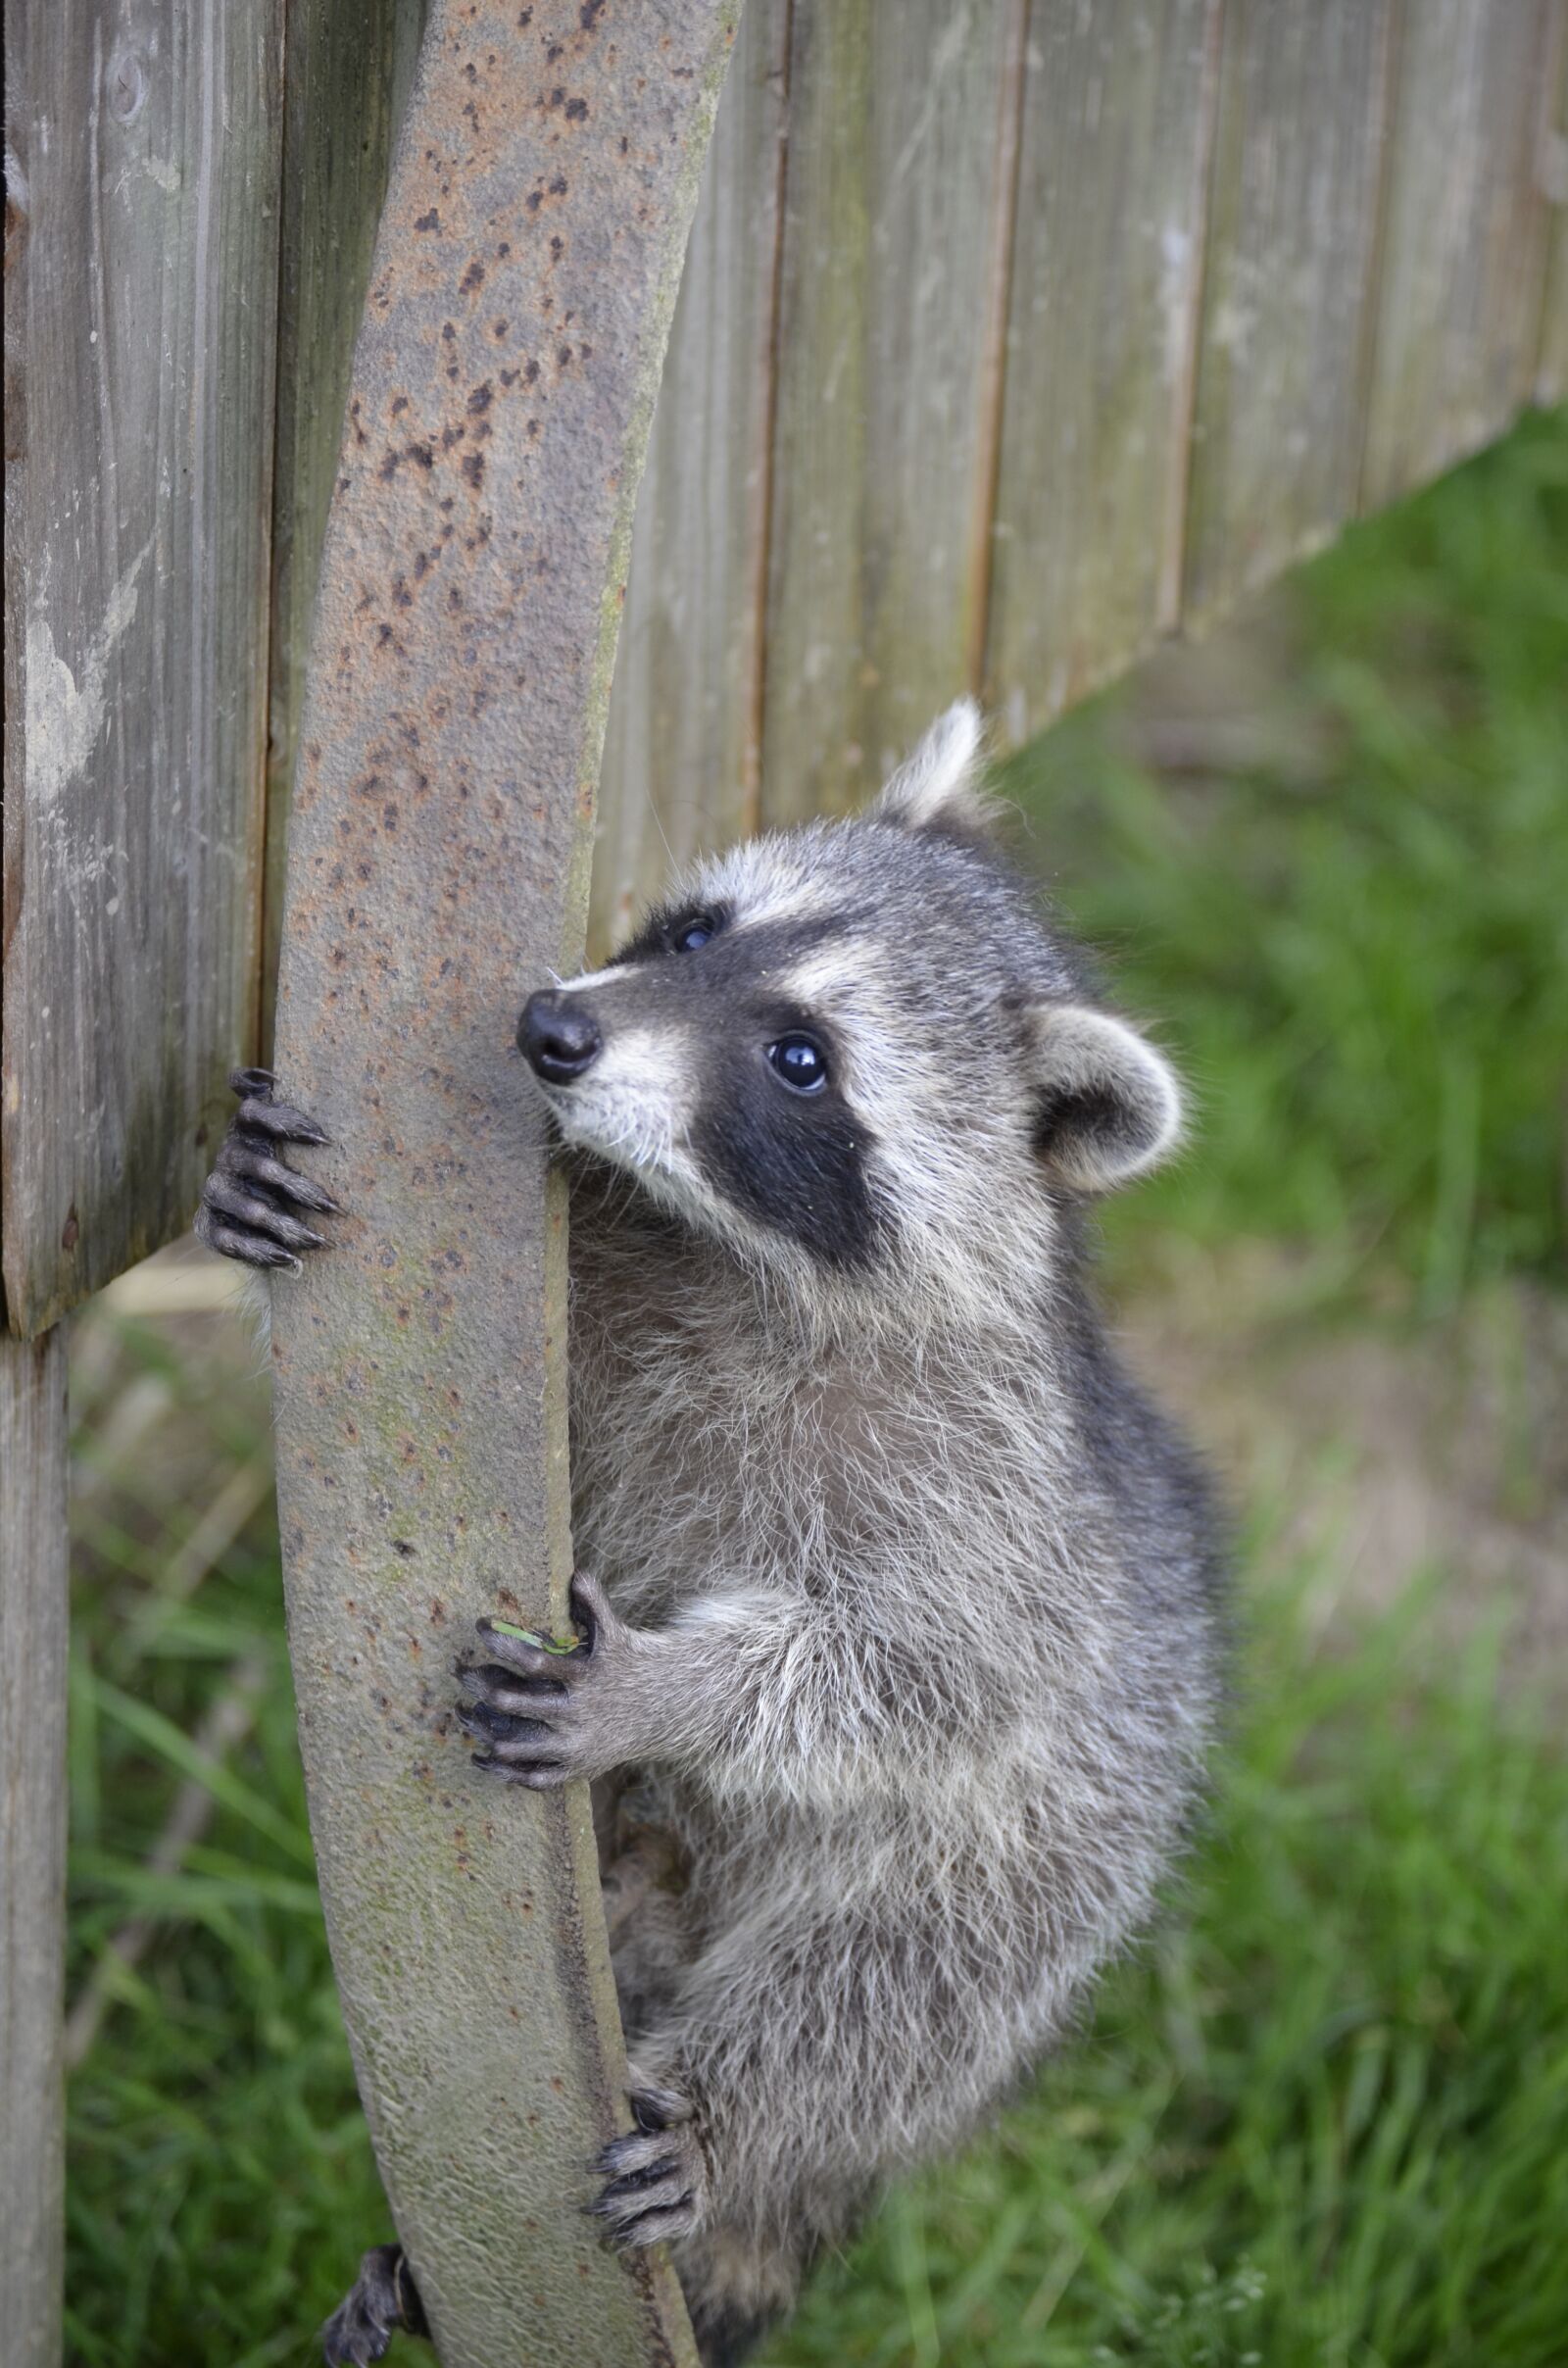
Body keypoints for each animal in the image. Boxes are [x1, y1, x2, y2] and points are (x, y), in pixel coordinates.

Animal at [198, 701, 1225, 2368]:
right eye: (694, 932)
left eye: (801, 1060)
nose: (552, 1031)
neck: (735, 1255)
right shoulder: (608, 1304)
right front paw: (241, 1197)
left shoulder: (990, 1498)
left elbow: (931, 1676)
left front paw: (679, 1686)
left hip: (1033, 1889)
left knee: (882, 1998)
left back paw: (721, 2121)